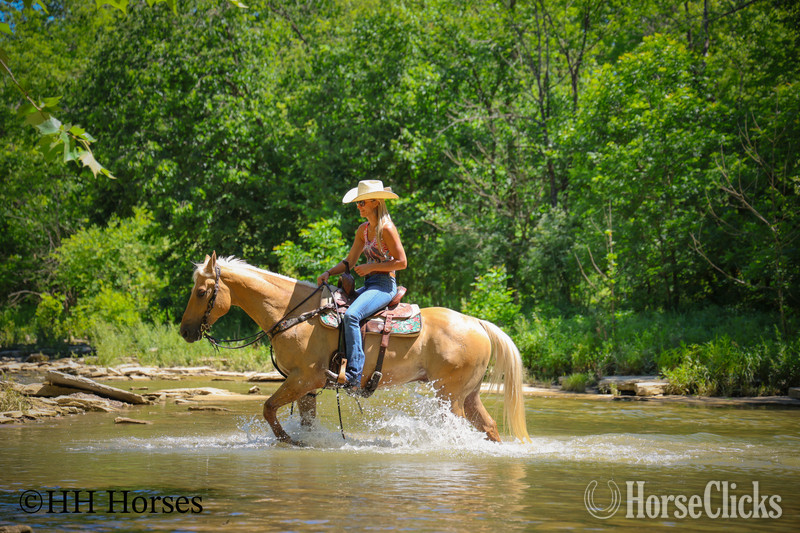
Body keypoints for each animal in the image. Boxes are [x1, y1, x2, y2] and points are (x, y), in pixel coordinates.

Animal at [179, 252, 530, 445]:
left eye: (201, 292)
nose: (185, 331)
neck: (295, 314)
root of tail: (477, 323)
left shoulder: (304, 379)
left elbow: (267, 408)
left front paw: (287, 440)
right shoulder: (306, 387)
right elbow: (303, 421)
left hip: (450, 395)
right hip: (468, 395)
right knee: (489, 427)